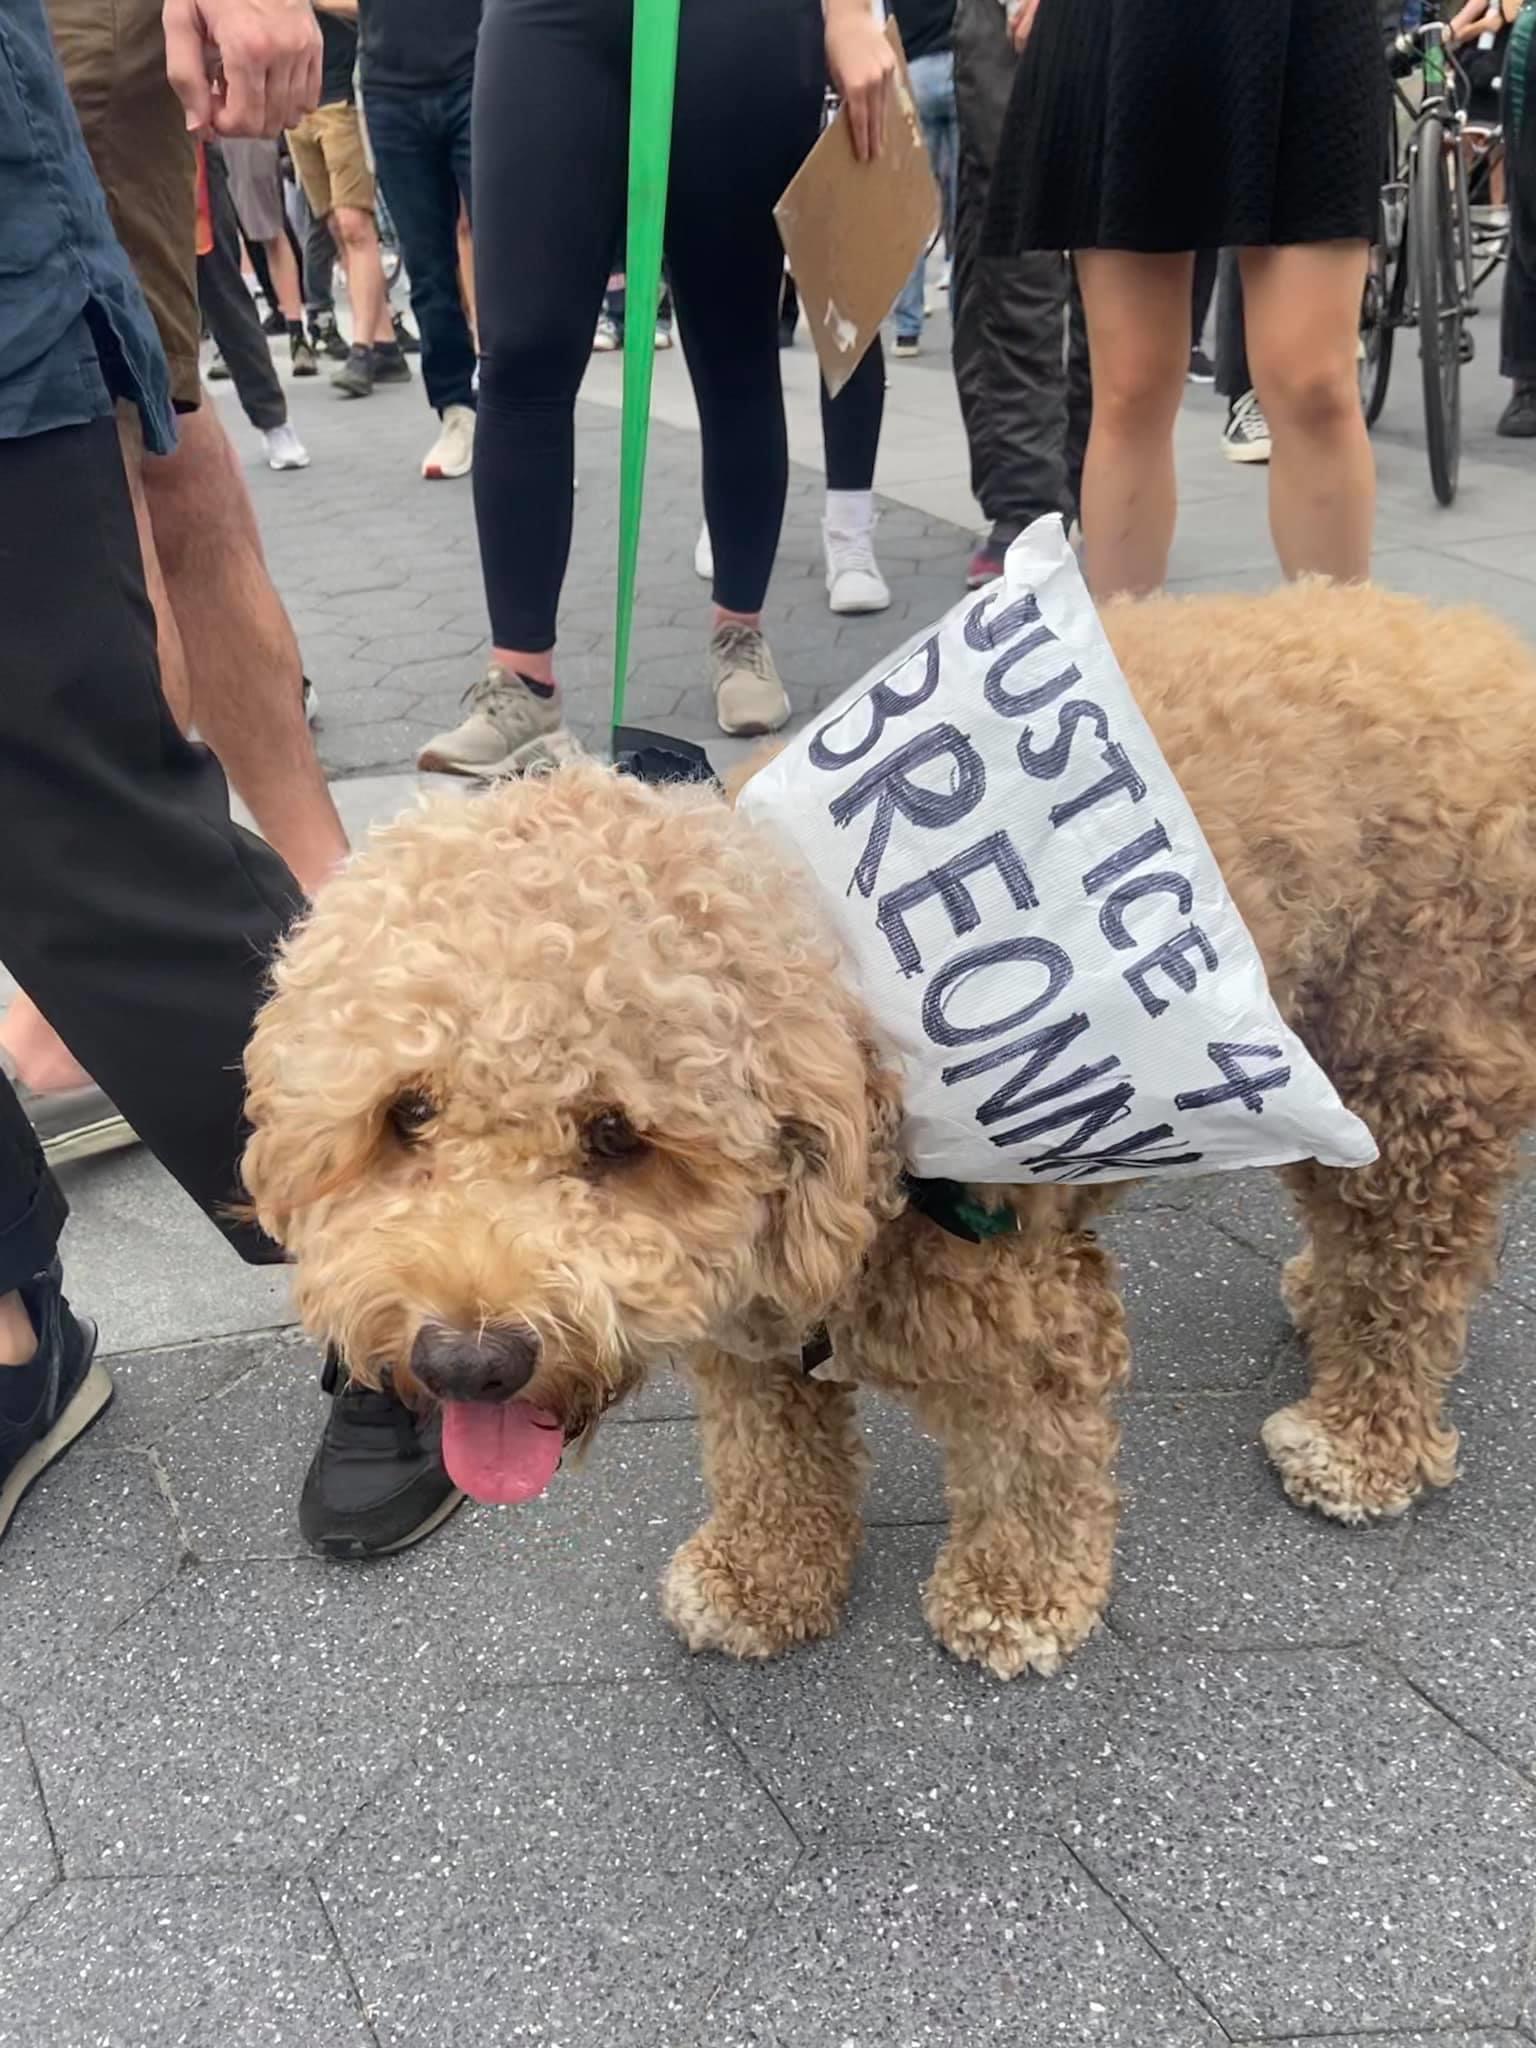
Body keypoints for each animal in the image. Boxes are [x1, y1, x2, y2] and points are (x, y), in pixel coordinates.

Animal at [243, 581, 1536, 1679]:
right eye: (406, 1114)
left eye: (615, 1134)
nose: (469, 1361)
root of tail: (1486, 652)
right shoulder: (750, 1330)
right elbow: (769, 1455)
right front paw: (762, 1579)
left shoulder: (1024, 1307)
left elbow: (1032, 1456)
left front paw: (1016, 1598)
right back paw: (1323, 1293)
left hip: (1419, 1067)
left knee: (1411, 1272)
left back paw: (1360, 1443)